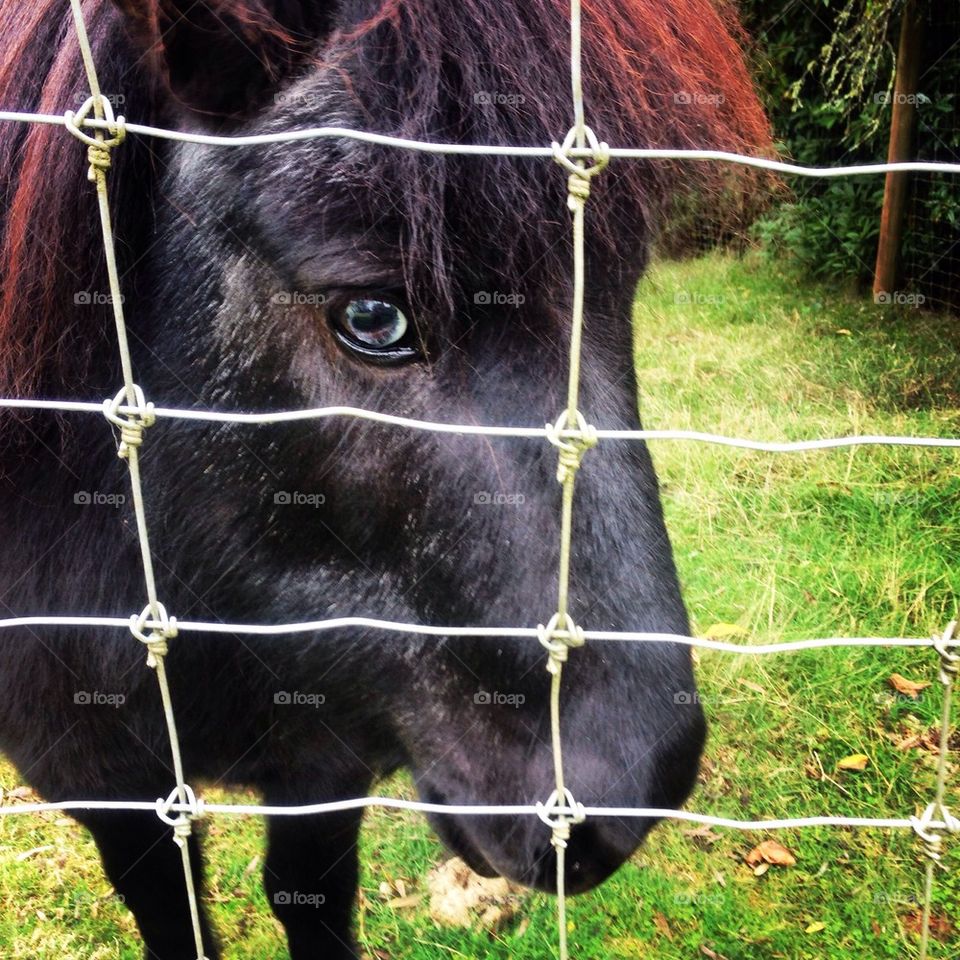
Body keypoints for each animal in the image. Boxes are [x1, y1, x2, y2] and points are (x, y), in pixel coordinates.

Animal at [0, 3, 764, 956]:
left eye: (624, 286)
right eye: (371, 315)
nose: (628, 790)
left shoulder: (327, 754)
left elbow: (310, 894)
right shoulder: (102, 781)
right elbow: (173, 913)